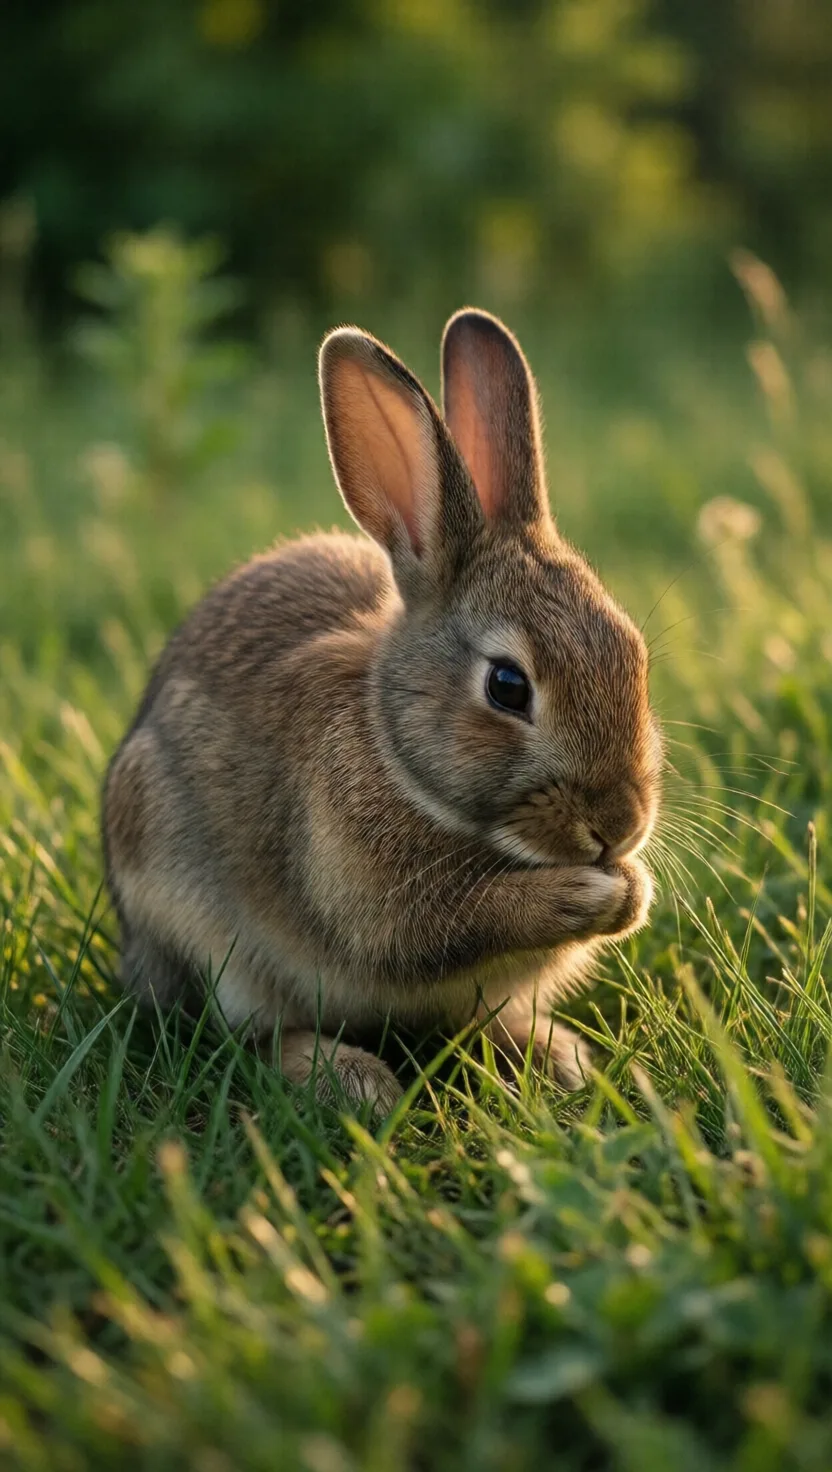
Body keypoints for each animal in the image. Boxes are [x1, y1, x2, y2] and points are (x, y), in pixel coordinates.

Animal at [102, 308, 662, 1113]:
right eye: (507, 686)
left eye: (634, 654)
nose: (619, 826)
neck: (398, 756)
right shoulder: (375, 903)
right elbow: (453, 925)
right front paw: (591, 895)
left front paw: (633, 891)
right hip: (200, 927)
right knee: (252, 1036)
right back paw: (352, 1080)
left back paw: (557, 1057)